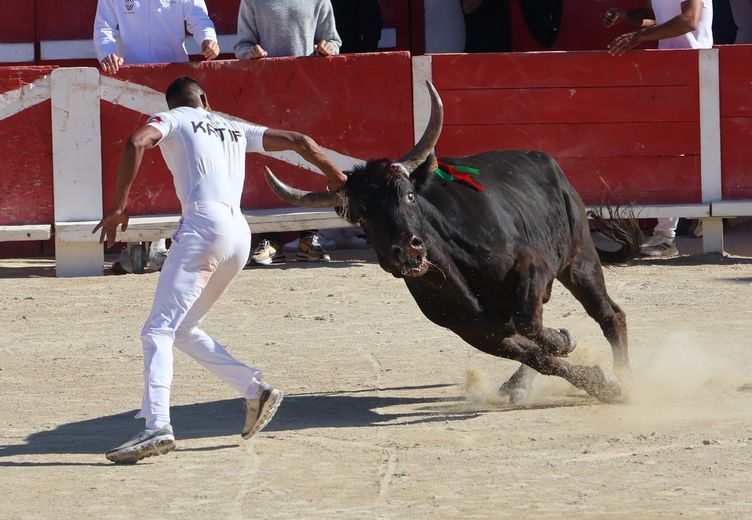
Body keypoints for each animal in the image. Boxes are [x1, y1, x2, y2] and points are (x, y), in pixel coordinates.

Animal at [264, 83, 640, 404]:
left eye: (410, 196)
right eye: (362, 216)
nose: (407, 249)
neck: (454, 267)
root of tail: (546, 161)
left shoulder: (532, 265)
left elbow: (530, 326)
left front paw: (571, 345)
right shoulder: (477, 330)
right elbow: (538, 353)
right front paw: (597, 381)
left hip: (580, 260)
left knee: (610, 314)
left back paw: (627, 378)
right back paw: (522, 384)